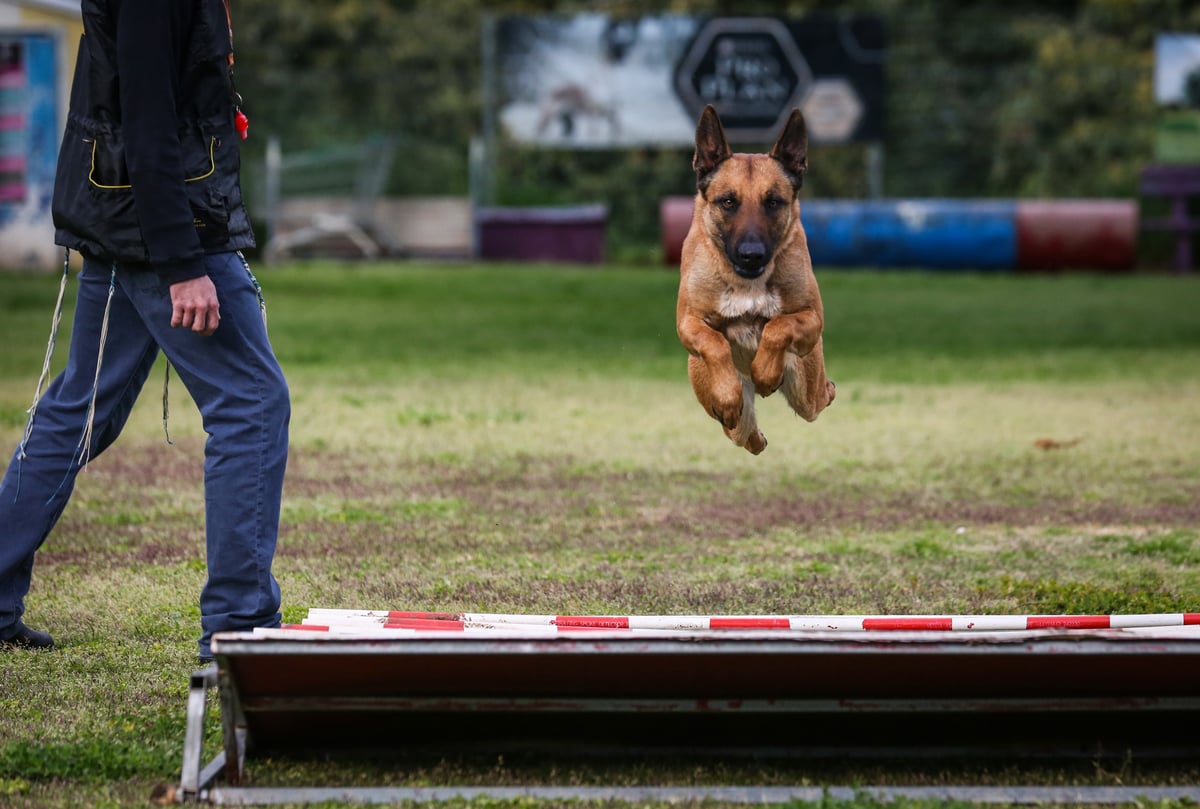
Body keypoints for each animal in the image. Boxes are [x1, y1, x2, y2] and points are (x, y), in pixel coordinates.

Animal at [676, 103, 835, 451]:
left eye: (773, 202)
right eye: (728, 201)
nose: (752, 254)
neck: (746, 283)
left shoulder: (812, 318)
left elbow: (778, 326)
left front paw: (764, 371)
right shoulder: (688, 322)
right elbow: (714, 342)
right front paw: (727, 394)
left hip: (807, 389)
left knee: (820, 396)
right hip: (732, 417)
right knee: (743, 433)